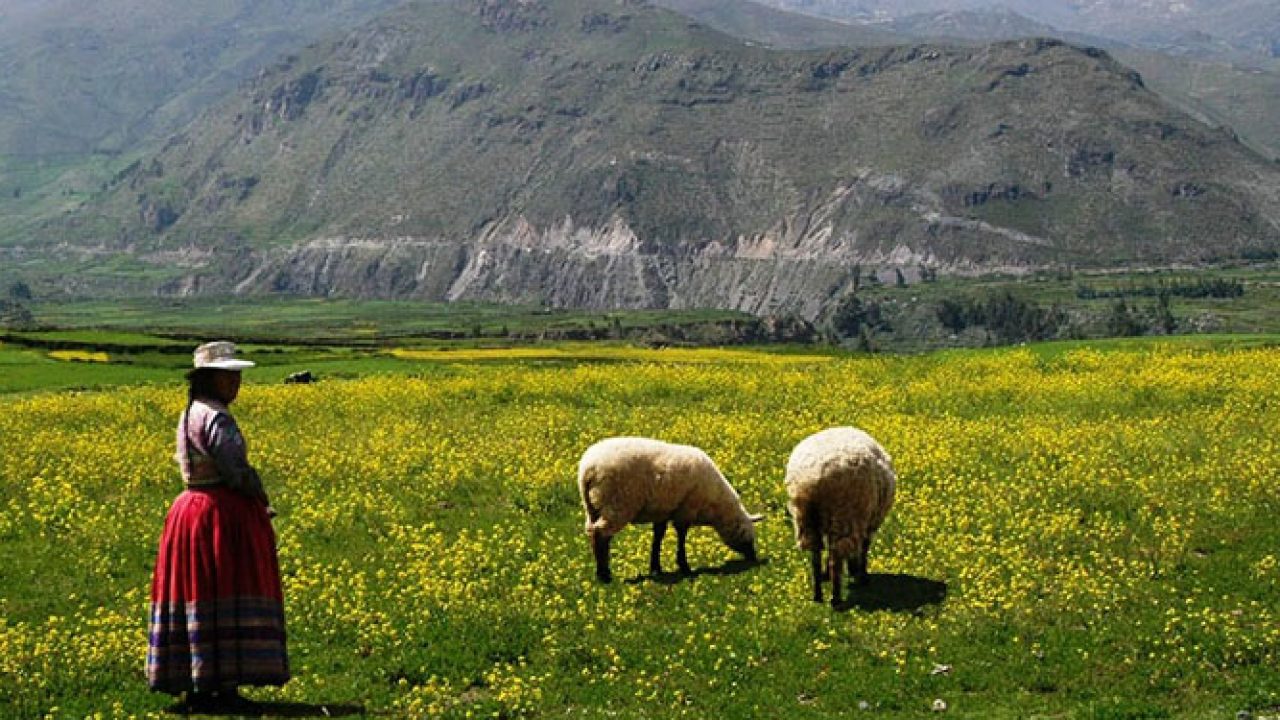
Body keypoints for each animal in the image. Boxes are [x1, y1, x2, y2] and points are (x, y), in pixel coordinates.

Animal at [578, 435, 757, 579]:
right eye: (746, 533)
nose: (753, 557)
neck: (716, 505)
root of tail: (588, 469)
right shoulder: (687, 508)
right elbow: (681, 535)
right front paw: (684, 566)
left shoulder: (662, 511)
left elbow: (658, 537)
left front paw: (656, 568)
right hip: (618, 503)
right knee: (601, 534)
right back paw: (604, 575)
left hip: (592, 507)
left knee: (592, 531)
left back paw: (600, 571)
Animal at [783, 422, 896, 602]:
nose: (853, 571)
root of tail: (813, 478)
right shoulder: (869, 522)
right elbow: (864, 549)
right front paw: (863, 576)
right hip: (845, 516)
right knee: (836, 557)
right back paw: (835, 598)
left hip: (806, 518)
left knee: (815, 555)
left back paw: (817, 594)